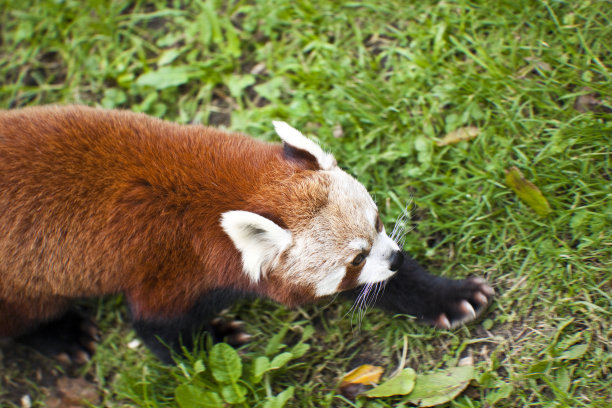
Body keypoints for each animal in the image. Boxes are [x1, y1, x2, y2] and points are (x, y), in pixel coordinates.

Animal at [1, 104, 406, 360]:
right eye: (356, 259)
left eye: (377, 223)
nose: (396, 260)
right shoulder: (174, 266)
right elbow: (156, 328)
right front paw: (215, 339)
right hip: (19, 285)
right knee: (27, 316)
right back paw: (64, 337)